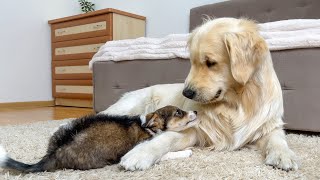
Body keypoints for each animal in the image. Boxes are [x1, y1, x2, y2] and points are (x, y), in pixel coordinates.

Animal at [0, 105, 198, 173]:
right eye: (178, 112)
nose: (196, 111)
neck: (149, 127)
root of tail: (53, 153)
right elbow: (165, 154)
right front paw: (186, 152)